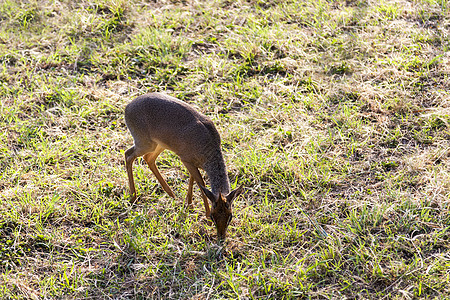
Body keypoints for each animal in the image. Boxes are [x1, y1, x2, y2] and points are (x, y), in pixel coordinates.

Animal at [123, 92, 243, 243]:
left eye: (230, 216)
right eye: (214, 215)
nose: (221, 237)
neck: (208, 146)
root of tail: (127, 107)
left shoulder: (192, 163)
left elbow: (193, 180)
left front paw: (189, 204)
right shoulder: (186, 160)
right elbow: (201, 183)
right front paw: (204, 215)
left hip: (159, 145)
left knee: (148, 159)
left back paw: (171, 194)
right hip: (144, 144)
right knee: (128, 155)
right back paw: (133, 198)